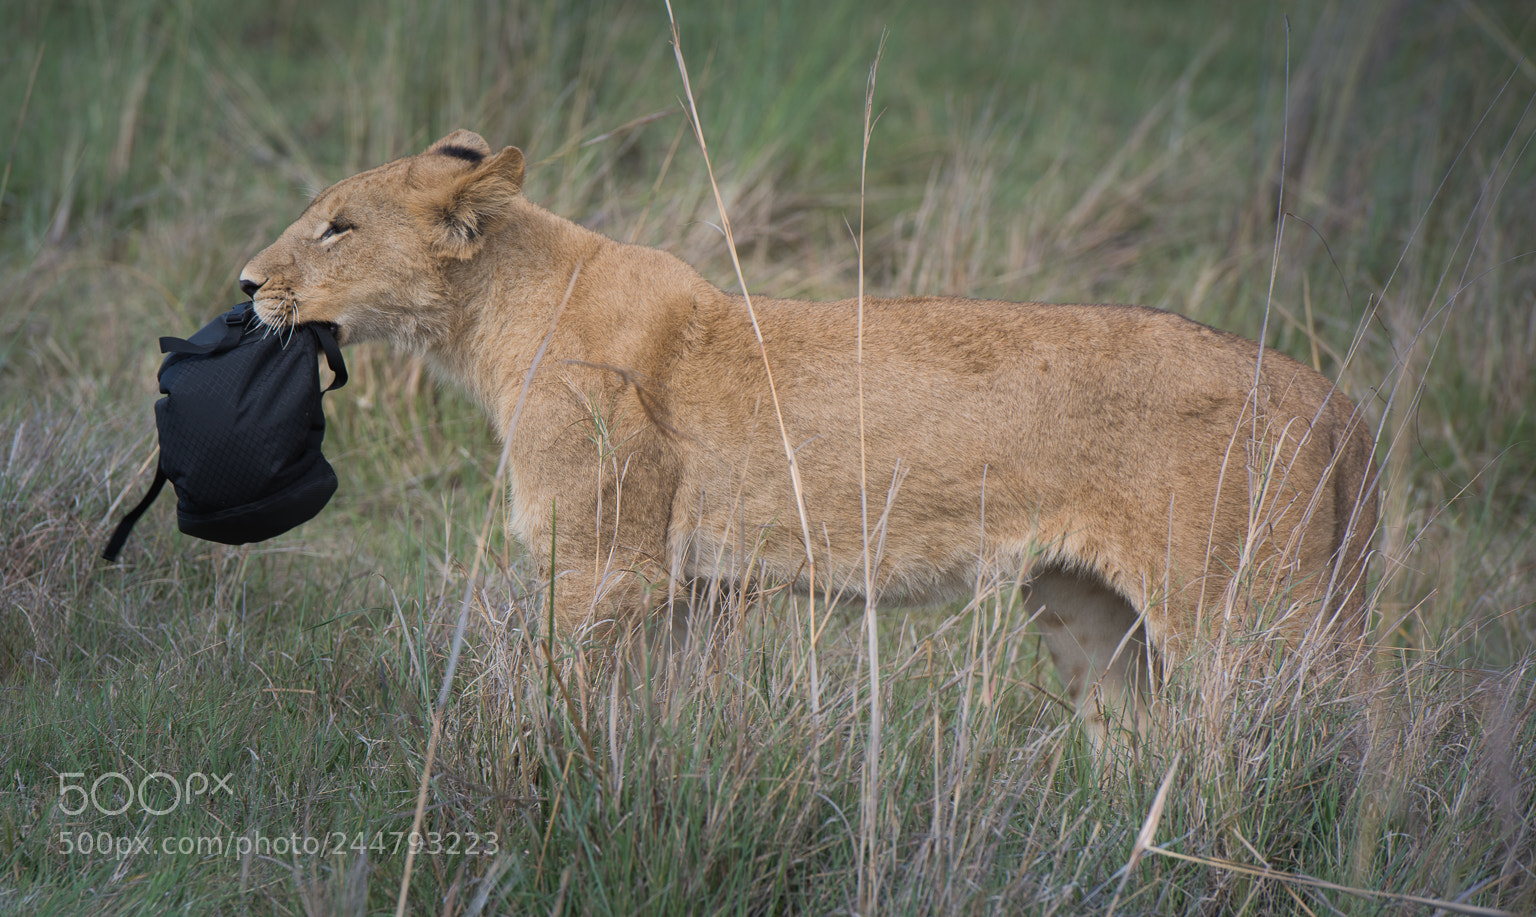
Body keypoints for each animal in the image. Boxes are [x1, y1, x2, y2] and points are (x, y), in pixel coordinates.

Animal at [240, 130, 1378, 738]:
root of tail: (1330, 392)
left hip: (1251, 621)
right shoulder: (688, 588)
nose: (248, 284)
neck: (491, 319)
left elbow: (544, 696)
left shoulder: (605, 567)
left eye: (338, 227)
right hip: (1090, 615)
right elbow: (654, 717)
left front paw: (523, 775)